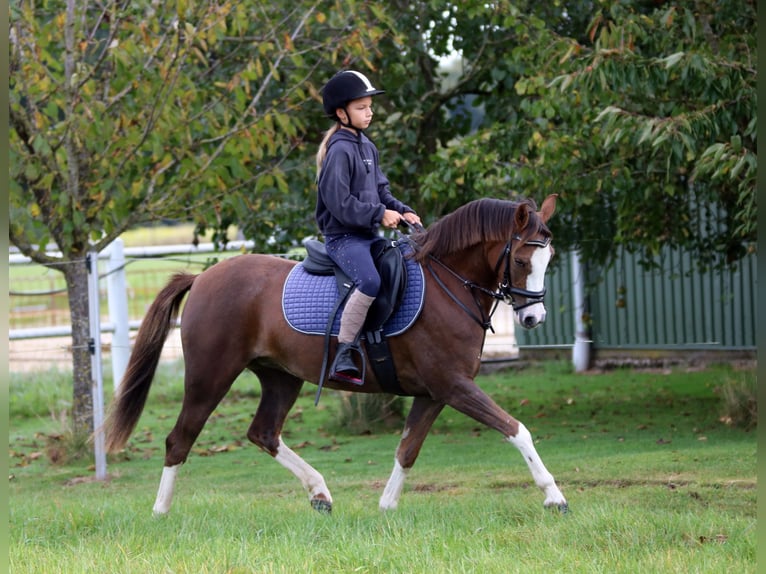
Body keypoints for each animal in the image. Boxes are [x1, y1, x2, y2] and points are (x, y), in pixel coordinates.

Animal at [104, 194, 568, 515]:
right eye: (522, 259)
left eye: (549, 257)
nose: (534, 318)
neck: (447, 283)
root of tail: (201, 278)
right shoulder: (454, 386)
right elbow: (516, 430)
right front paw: (554, 497)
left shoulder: (434, 393)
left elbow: (407, 449)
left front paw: (386, 507)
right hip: (209, 377)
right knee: (179, 439)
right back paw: (161, 511)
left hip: (281, 378)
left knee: (263, 433)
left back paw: (320, 493)